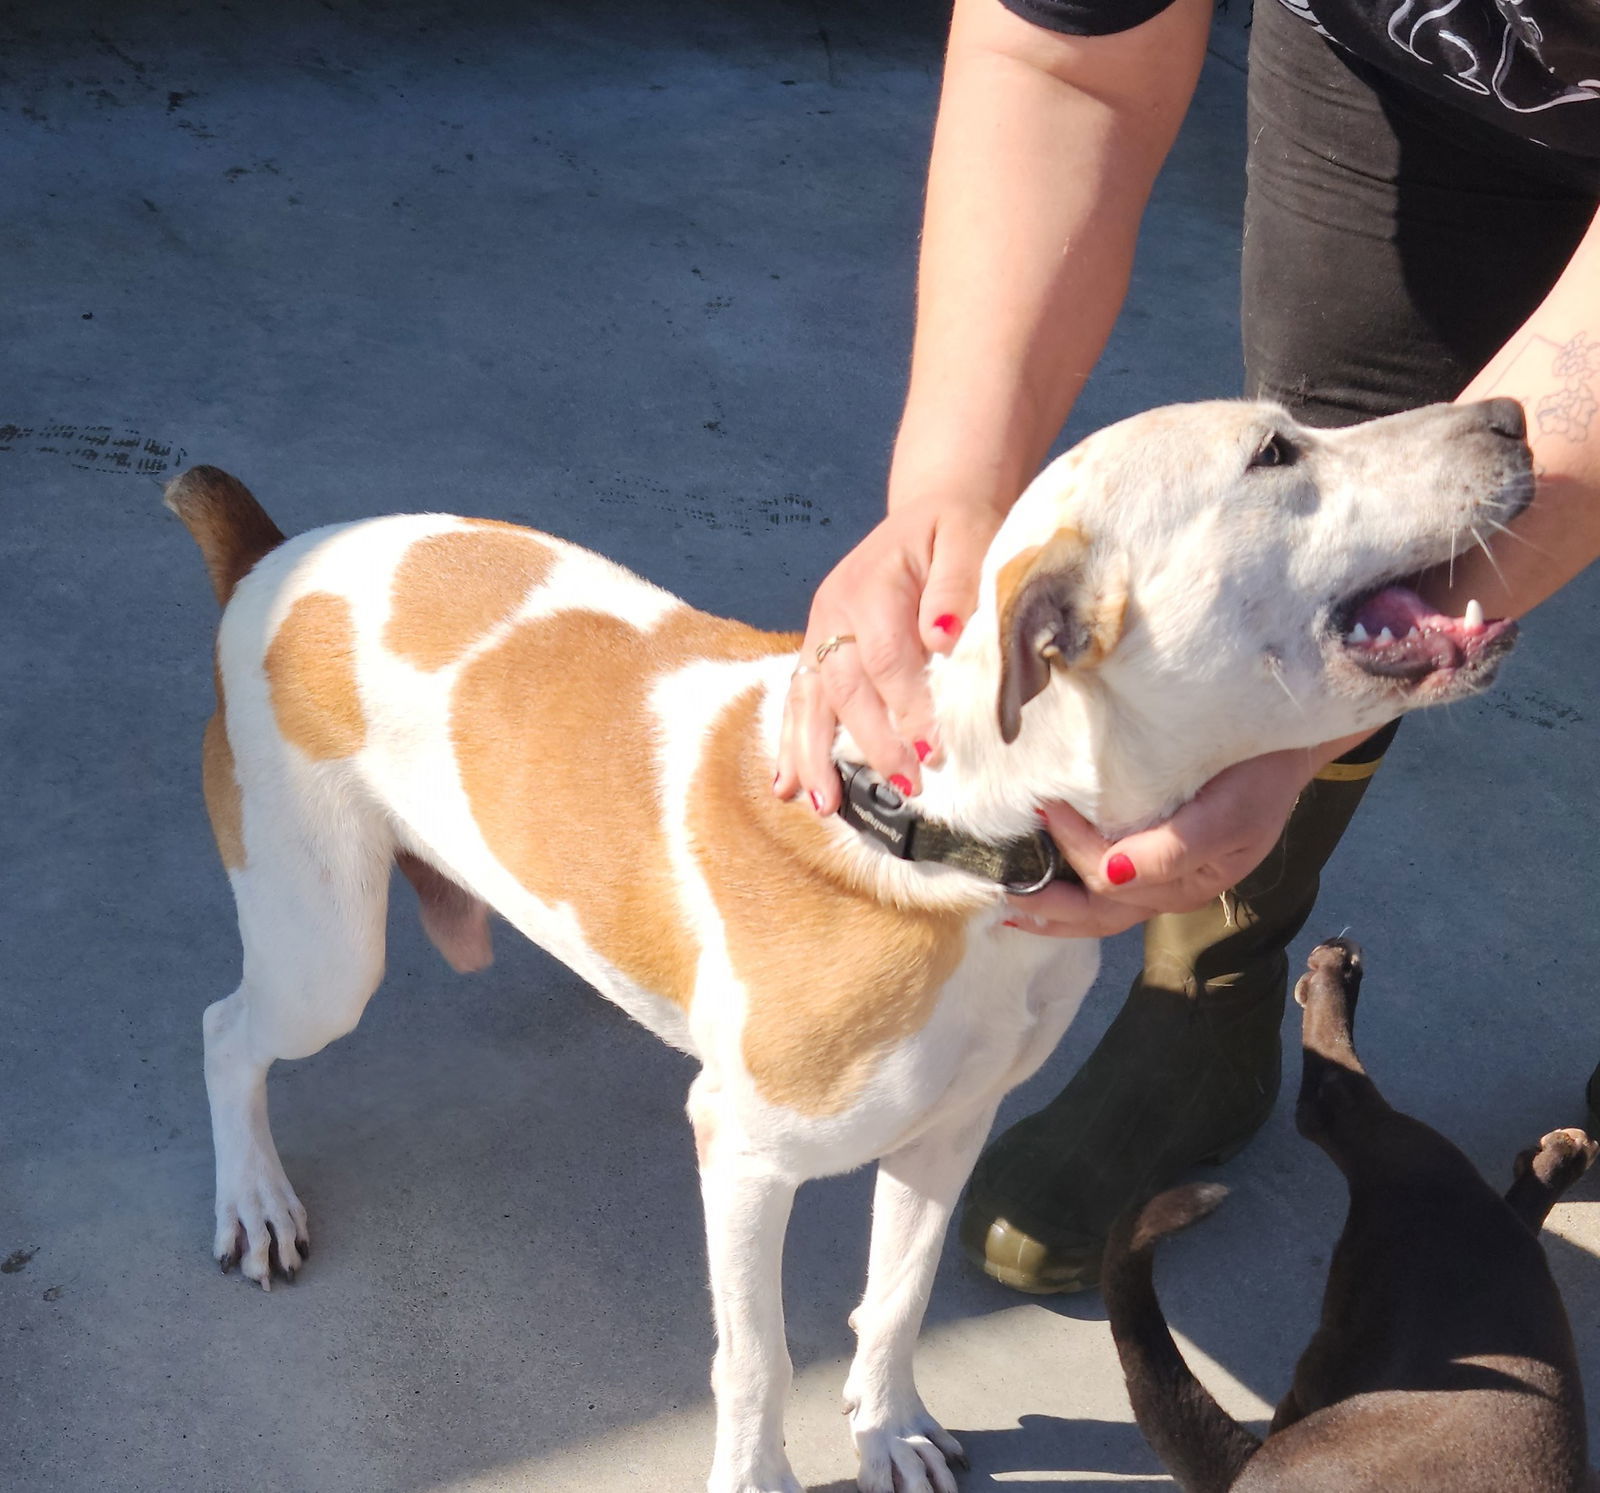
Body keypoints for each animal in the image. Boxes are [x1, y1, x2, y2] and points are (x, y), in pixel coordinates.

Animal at [172, 396, 1523, 1491]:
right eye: (1275, 451)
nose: (1511, 415)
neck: (954, 840)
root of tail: (273, 554)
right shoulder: (741, 1154)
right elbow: (757, 1358)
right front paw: (761, 1474)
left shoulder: (949, 1126)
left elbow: (895, 1299)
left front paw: (886, 1430)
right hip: (325, 960)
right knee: (227, 1029)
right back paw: (255, 1198)